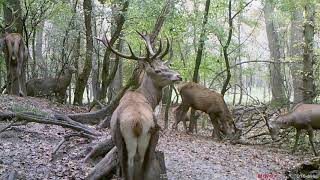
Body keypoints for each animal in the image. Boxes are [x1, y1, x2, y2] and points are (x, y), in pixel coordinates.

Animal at [98, 32, 180, 180]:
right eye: (158, 70)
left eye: (167, 66)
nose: (178, 76)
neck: (149, 98)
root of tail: (137, 122)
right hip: (151, 136)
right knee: (142, 166)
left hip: (121, 139)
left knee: (129, 167)